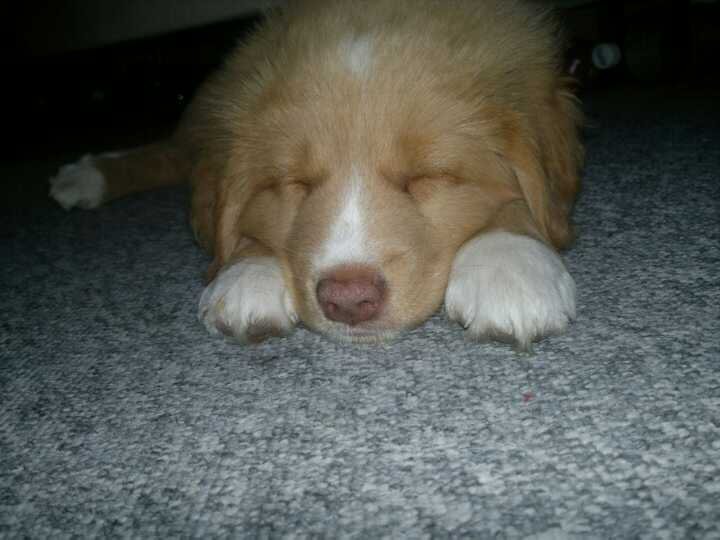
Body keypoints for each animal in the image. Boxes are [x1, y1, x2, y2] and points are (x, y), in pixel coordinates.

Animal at [50, 0, 583, 351]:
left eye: (426, 176)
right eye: (295, 184)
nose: (348, 300)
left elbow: (529, 204)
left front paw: (511, 261)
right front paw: (246, 268)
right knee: (177, 155)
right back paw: (86, 175)